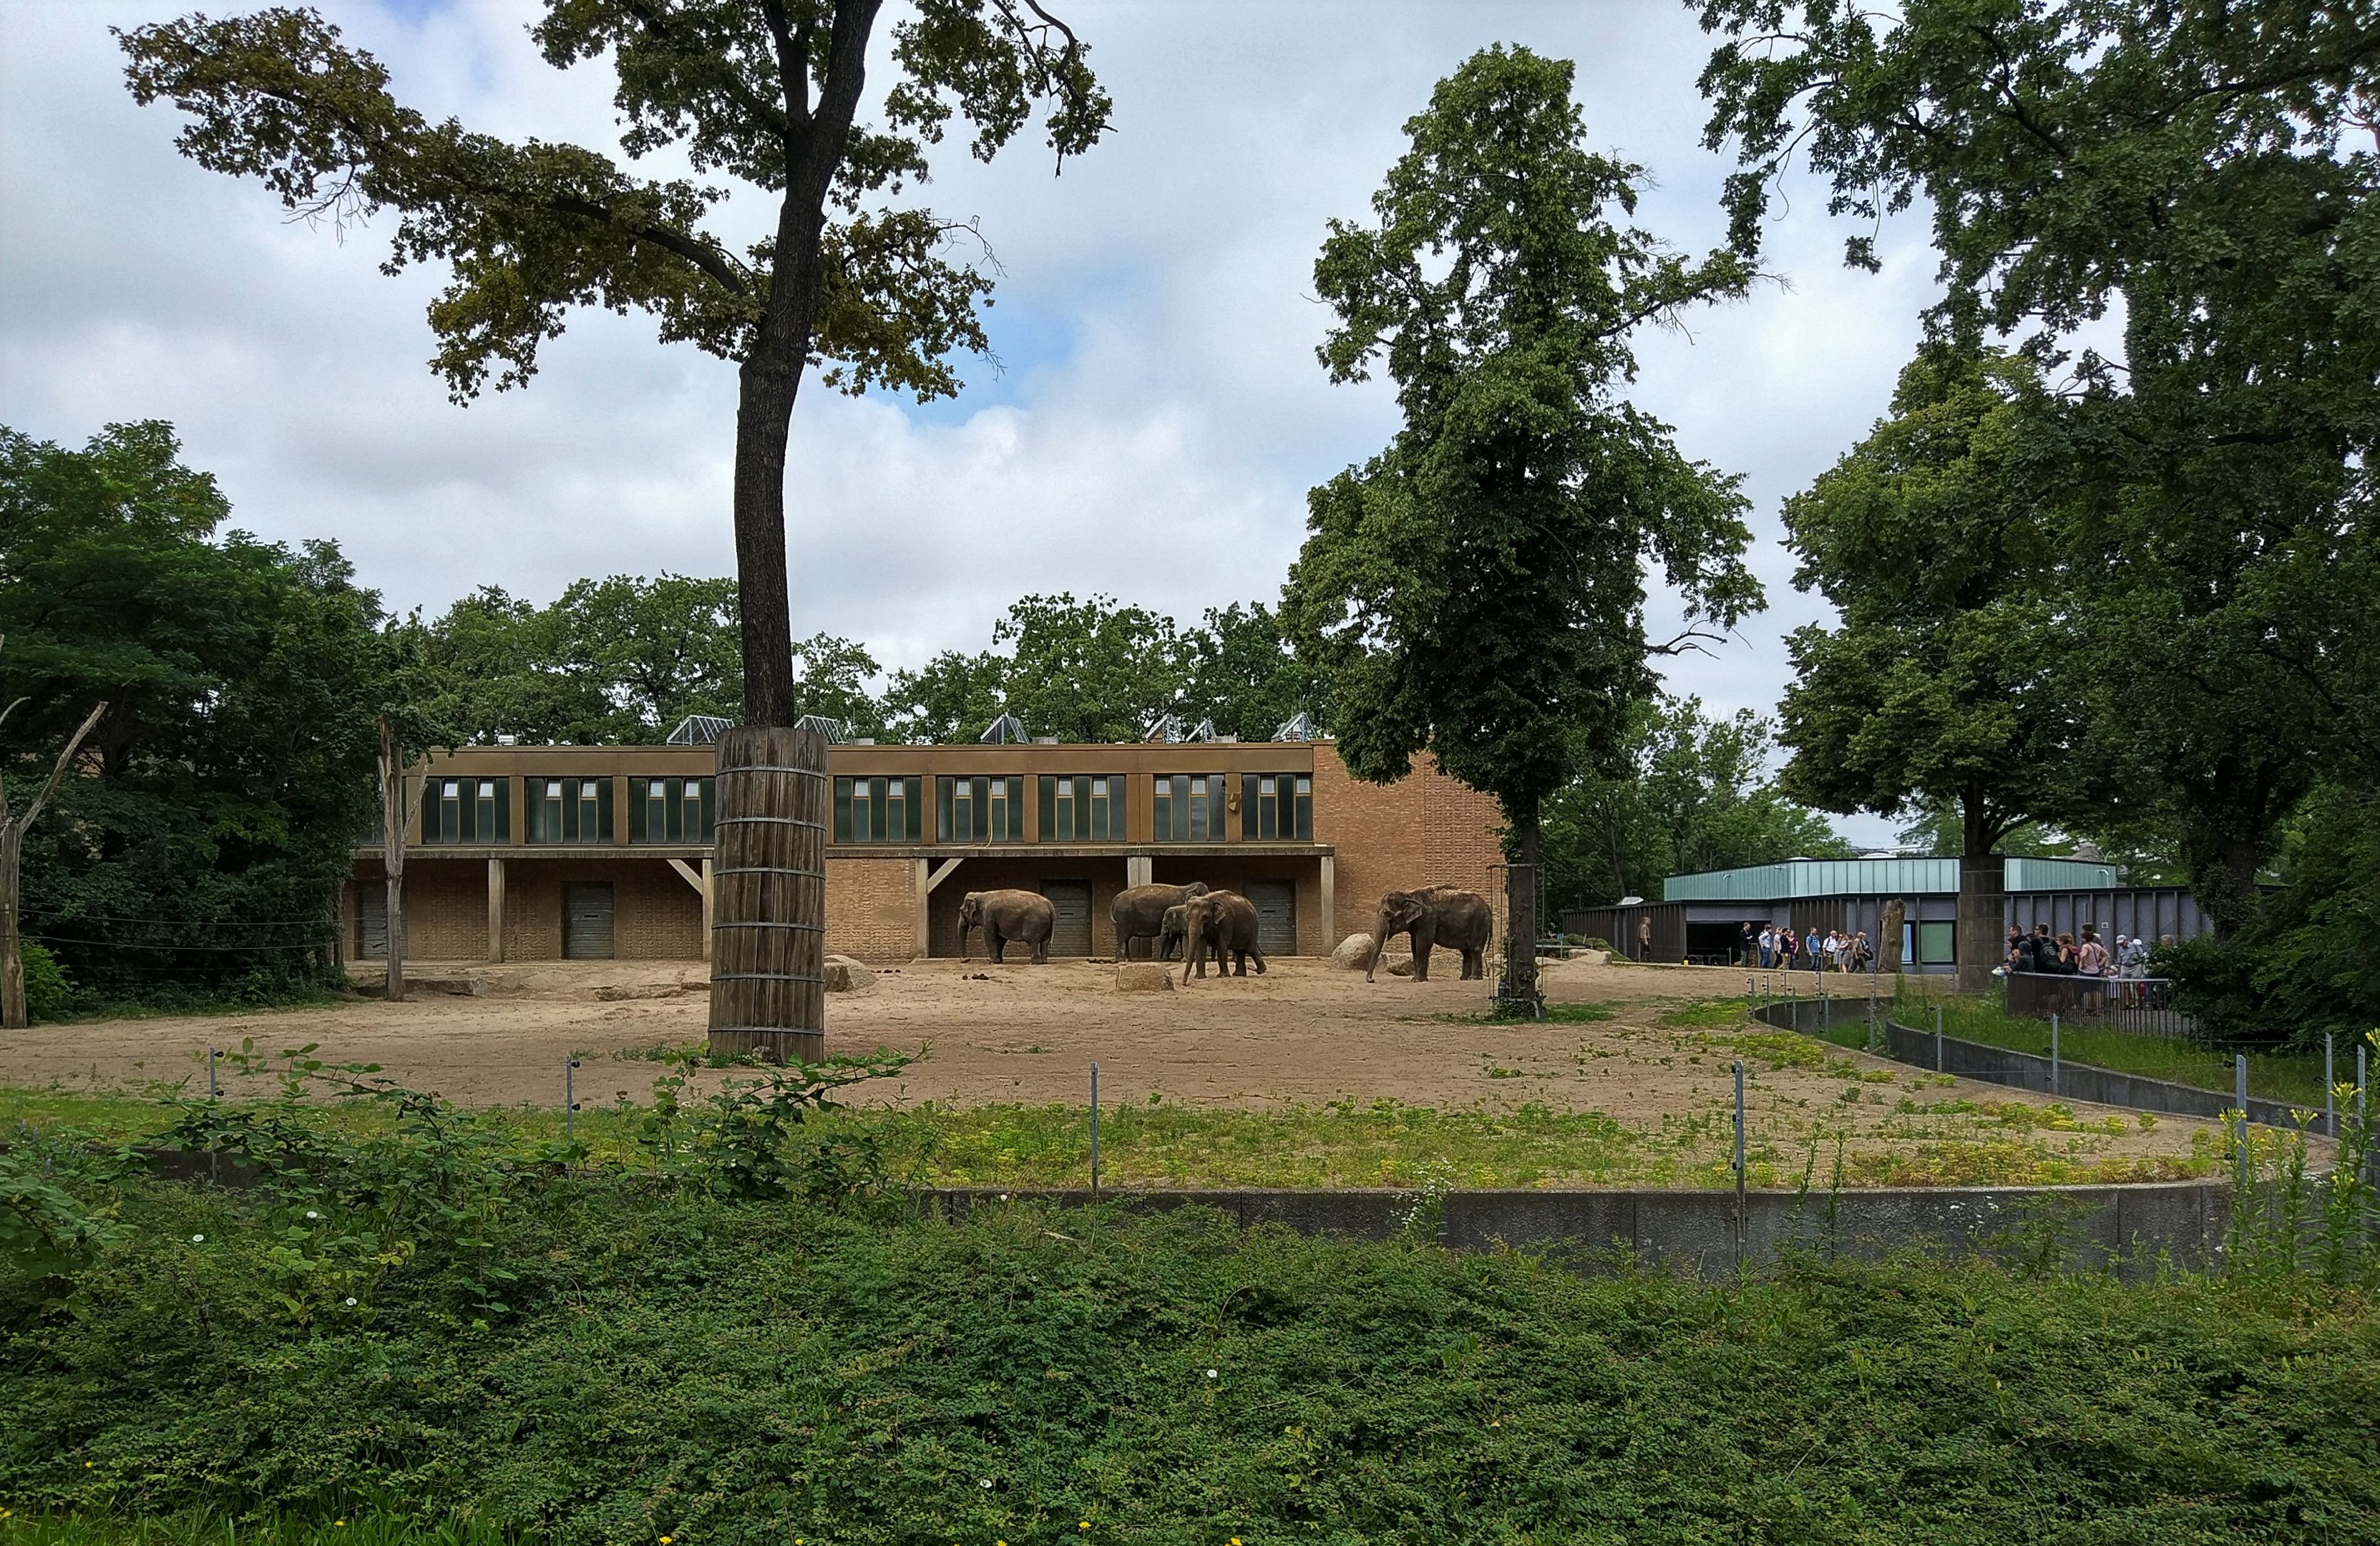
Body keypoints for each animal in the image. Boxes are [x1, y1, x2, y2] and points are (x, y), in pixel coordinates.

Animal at [956, 889, 1055, 965]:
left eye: (961, 912)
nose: (968, 959)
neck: (981, 895)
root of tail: (1050, 906)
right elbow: (1001, 939)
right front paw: (999, 961)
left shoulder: (989, 915)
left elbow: (990, 936)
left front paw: (992, 962)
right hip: (1047, 925)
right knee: (1045, 942)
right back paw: (1043, 962)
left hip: (1035, 923)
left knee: (1032, 941)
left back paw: (1034, 963)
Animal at [1112, 881, 1211, 960]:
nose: (1159, 958)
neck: (1188, 888)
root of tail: (1117, 897)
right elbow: (1176, 936)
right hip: (1123, 918)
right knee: (1123, 937)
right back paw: (1122, 960)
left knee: (1126, 939)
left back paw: (1129, 959)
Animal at [1366, 886, 1492, 982]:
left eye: (1388, 914)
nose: (1372, 980)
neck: (1409, 894)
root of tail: (1487, 906)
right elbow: (1414, 946)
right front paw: (1415, 979)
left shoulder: (1428, 920)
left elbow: (1423, 944)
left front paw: (1418, 981)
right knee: (1466, 952)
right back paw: (1463, 979)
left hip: (1479, 923)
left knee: (1475, 949)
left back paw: (1474, 979)